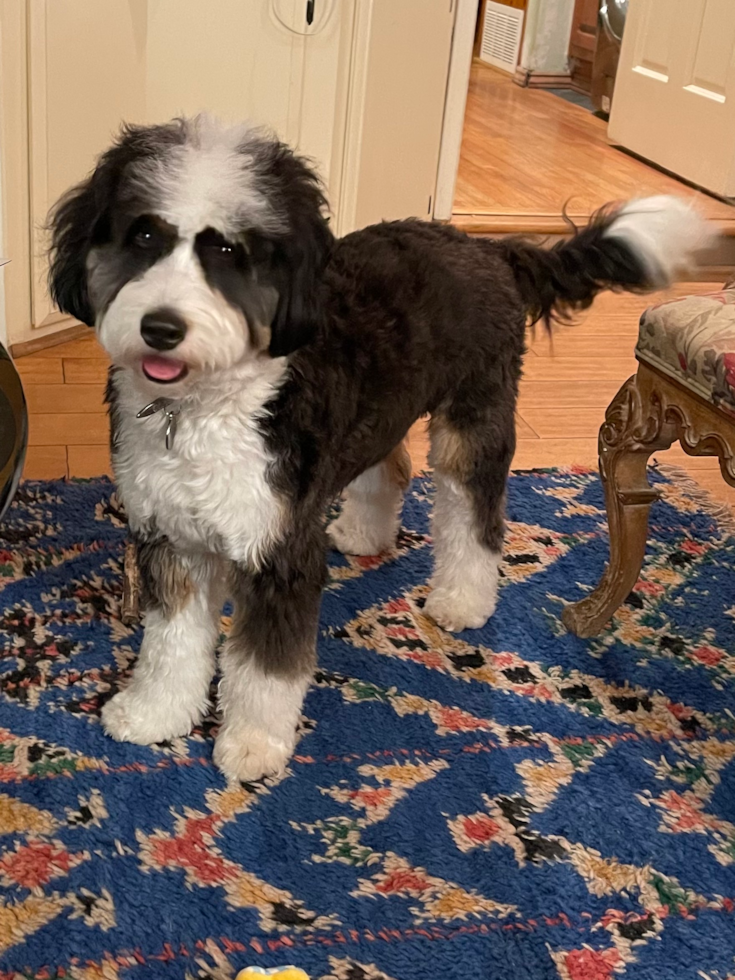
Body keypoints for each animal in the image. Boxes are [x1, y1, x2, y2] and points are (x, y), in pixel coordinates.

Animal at [47, 118, 712, 784]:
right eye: (144, 235)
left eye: (231, 252)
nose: (161, 328)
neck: (201, 408)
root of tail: (487, 248)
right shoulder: (172, 538)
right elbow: (171, 643)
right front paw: (155, 713)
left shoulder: (281, 551)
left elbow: (265, 670)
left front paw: (253, 745)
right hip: (379, 412)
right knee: (391, 464)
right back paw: (365, 534)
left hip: (473, 424)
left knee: (475, 517)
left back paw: (463, 598)